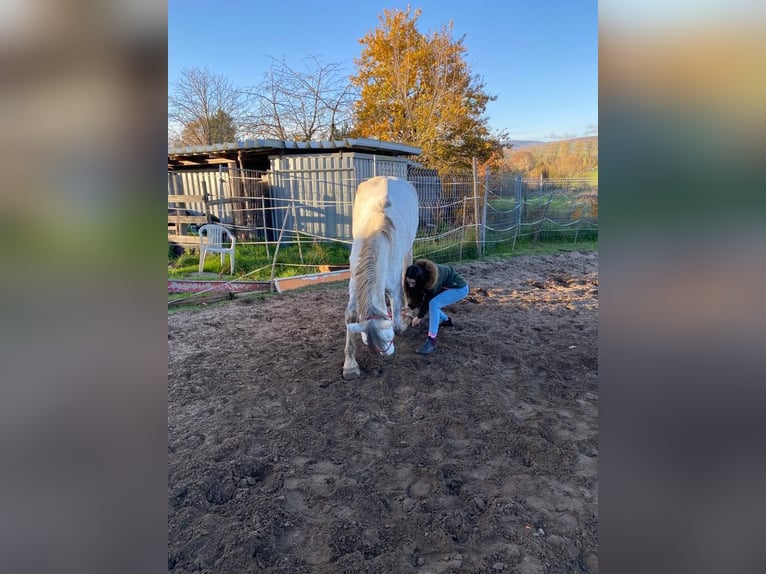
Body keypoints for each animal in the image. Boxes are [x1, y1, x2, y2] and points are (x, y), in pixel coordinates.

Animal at [344, 178, 420, 380]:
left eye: (387, 339)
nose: (387, 353)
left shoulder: (394, 287)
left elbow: (397, 317)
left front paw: (404, 322)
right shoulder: (354, 282)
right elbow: (350, 315)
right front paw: (350, 365)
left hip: (409, 247)